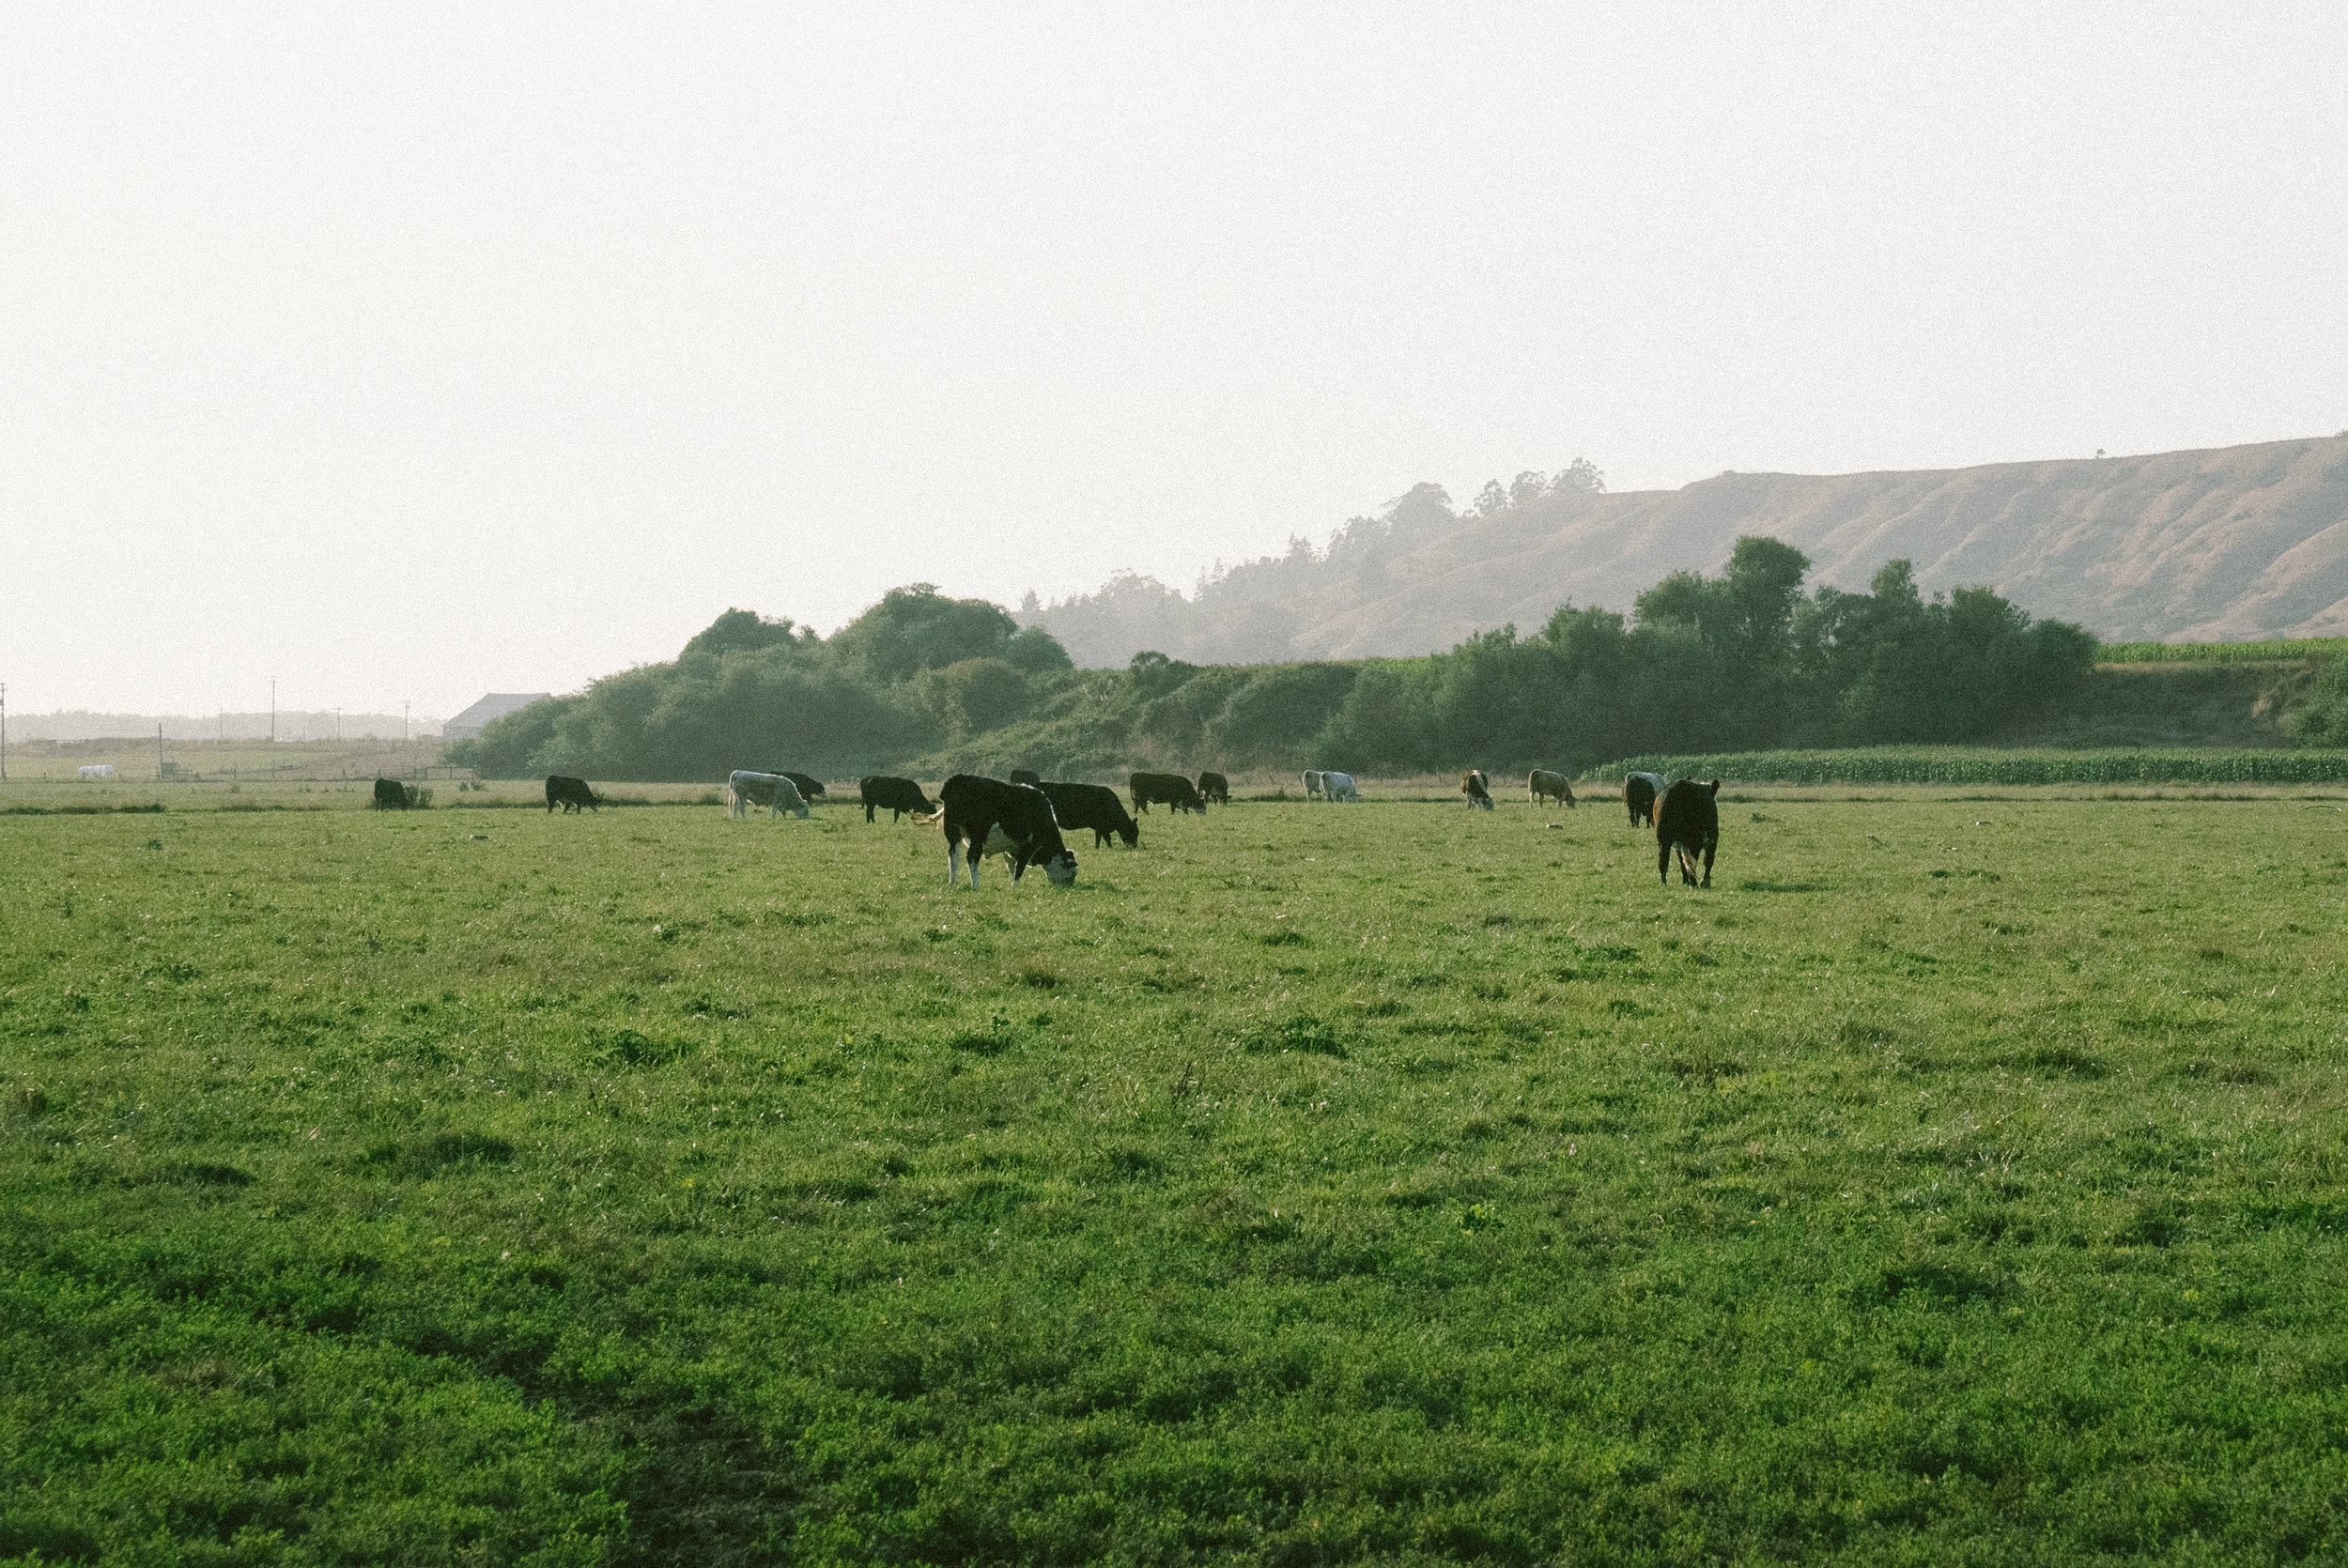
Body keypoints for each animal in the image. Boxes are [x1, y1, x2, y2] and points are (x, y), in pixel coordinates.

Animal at [939, 775, 1075, 887]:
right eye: (1073, 874)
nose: (1068, 888)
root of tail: (959, 778)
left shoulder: (1010, 850)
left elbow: (1011, 867)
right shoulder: (1030, 845)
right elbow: (1019, 868)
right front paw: (1015, 888)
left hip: (953, 833)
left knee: (953, 856)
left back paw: (952, 883)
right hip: (978, 836)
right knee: (972, 856)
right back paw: (976, 886)